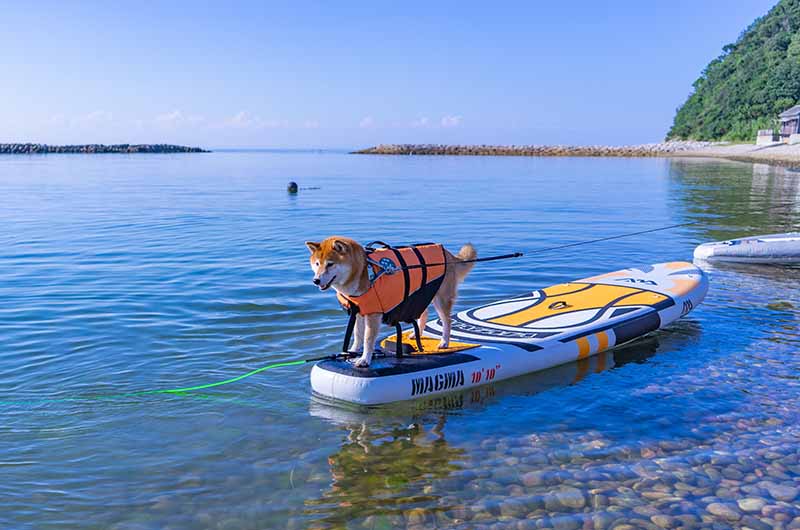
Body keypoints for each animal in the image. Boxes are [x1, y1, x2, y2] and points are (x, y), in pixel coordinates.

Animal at [306, 237, 476, 366]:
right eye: (317, 264)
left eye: (330, 264)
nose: (316, 280)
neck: (362, 271)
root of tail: (449, 255)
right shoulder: (359, 311)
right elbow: (358, 335)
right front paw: (352, 351)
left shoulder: (373, 314)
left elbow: (368, 339)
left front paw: (364, 359)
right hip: (421, 292)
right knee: (424, 314)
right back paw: (416, 334)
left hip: (440, 298)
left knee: (447, 320)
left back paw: (444, 342)